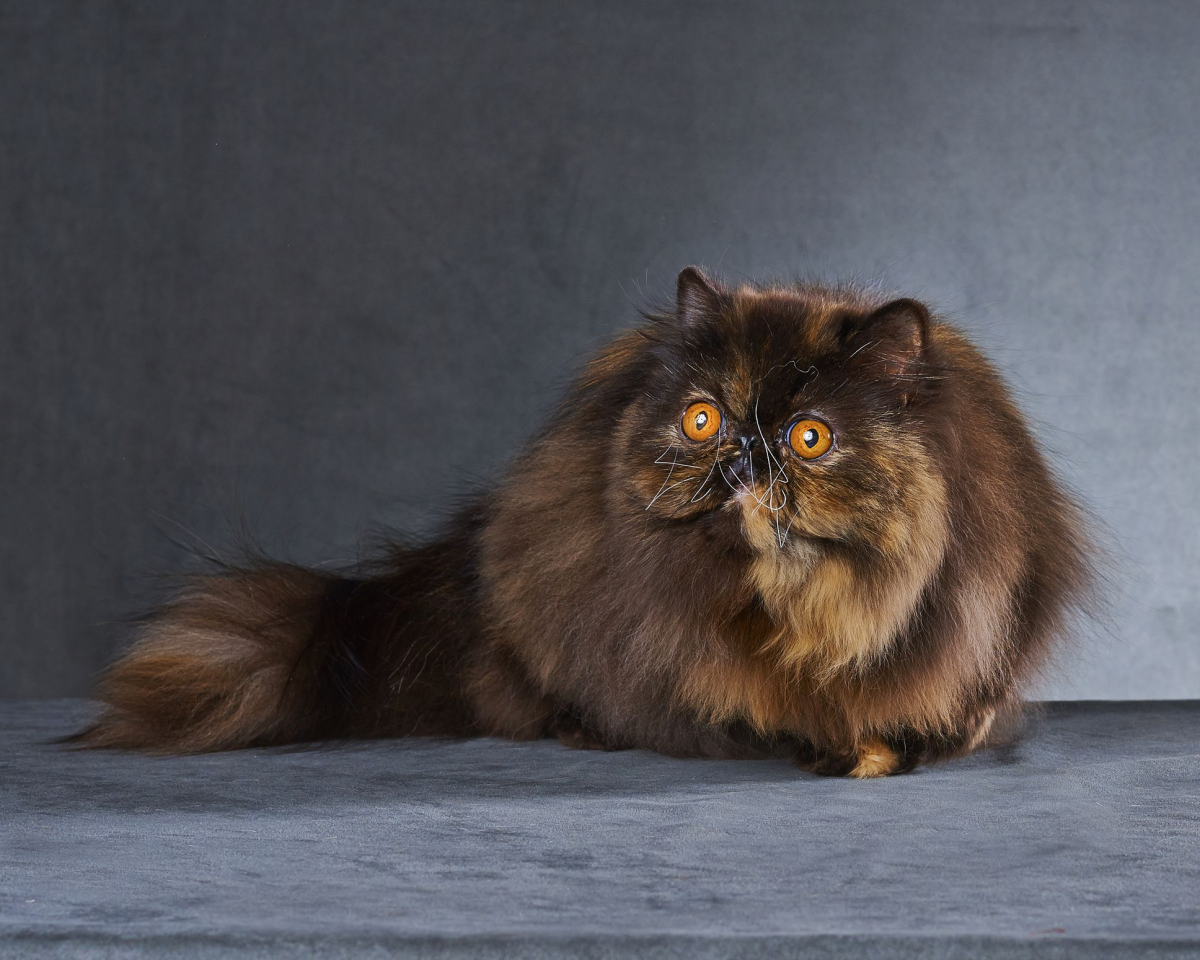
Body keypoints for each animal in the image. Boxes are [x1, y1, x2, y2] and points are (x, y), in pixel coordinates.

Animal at [70, 266, 1094, 777]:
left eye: (809, 437)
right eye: (703, 421)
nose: (745, 460)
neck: (788, 615)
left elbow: (936, 721)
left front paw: (876, 749)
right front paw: (813, 742)